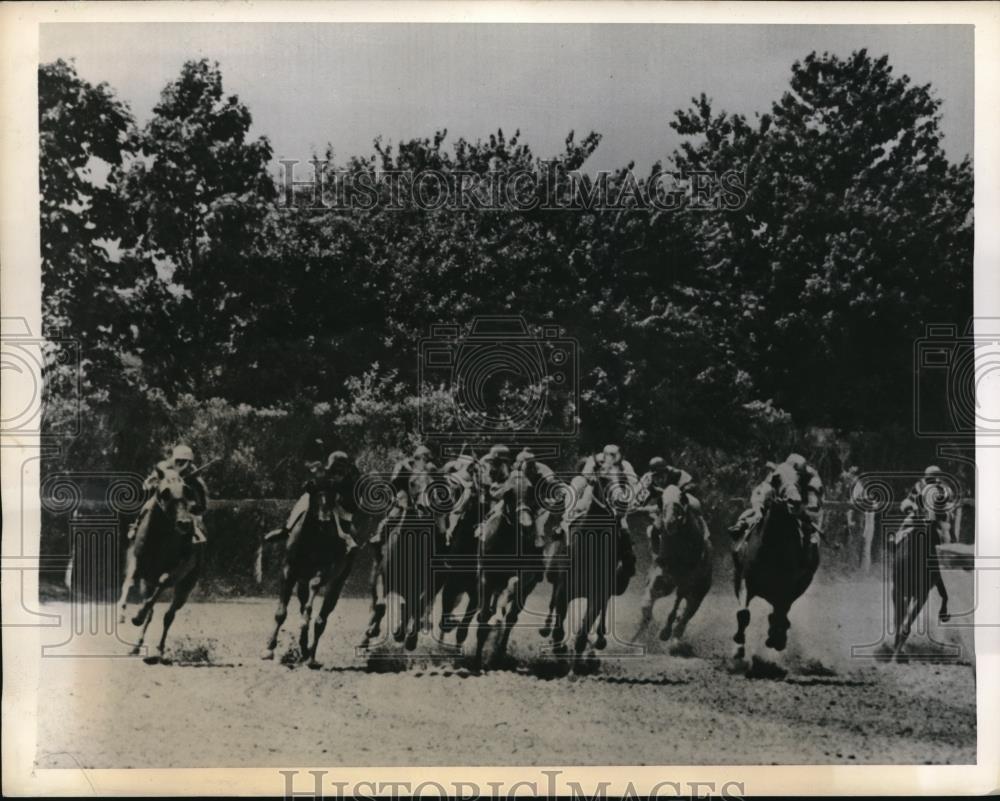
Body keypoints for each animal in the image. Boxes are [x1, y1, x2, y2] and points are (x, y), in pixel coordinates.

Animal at [117, 462, 203, 664]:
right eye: (164, 492)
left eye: (187, 490)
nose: (185, 523)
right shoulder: (137, 563)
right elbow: (129, 583)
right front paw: (123, 613)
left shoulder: (178, 569)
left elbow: (164, 581)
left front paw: (137, 615)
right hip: (147, 581)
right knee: (151, 610)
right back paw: (136, 647)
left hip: (186, 586)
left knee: (168, 615)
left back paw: (159, 650)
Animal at [260, 484, 358, 664]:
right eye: (315, 496)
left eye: (331, 497)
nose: (326, 519)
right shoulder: (289, 571)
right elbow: (281, 613)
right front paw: (269, 648)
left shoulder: (324, 570)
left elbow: (315, 586)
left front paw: (305, 619)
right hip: (302, 581)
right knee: (305, 602)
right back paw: (304, 646)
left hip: (338, 582)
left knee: (321, 619)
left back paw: (311, 655)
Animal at [636, 482, 716, 644]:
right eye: (660, 501)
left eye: (682, 499)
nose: (669, 523)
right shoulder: (661, 578)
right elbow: (647, 603)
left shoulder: (686, 584)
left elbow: (676, 606)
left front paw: (665, 632)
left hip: (699, 592)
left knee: (686, 614)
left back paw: (675, 636)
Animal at [732, 460, 816, 660]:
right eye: (776, 478)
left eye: (800, 479)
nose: (793, 501)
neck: (772, 547)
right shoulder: (746, 578)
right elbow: (743, 613)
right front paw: (738, 644)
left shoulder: (787, 588)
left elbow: (780, 614)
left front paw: (777, 639)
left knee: (781, 614)